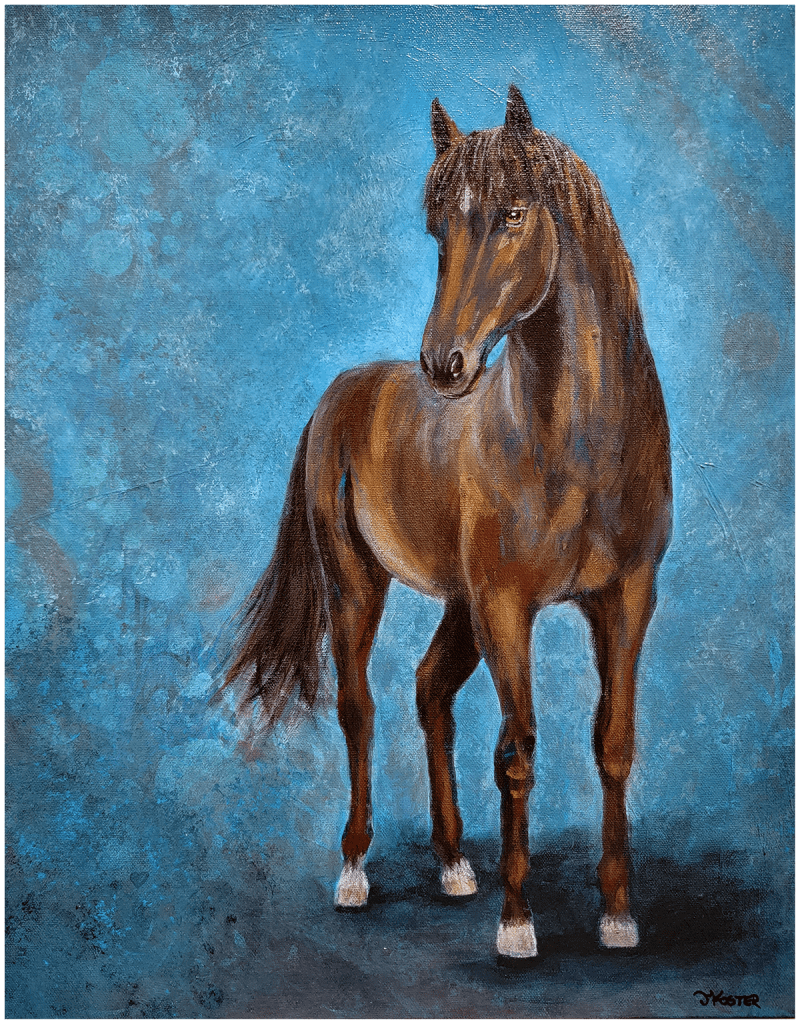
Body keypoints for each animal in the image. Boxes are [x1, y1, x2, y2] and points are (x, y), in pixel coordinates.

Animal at [224, 85, 672, 958]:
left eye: (513, 214)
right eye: (437, 227)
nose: (443, 363)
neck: (582, 444)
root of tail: (340, 395)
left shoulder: (626, 599)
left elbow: (613, 745)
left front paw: (618, 913)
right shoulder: (506, 606)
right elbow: (518, 752)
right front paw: (517, 923)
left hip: (460, 606)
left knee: (429, 691)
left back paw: (456, 862)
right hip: (357, 587)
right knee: (359, 709)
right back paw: (356, 869)